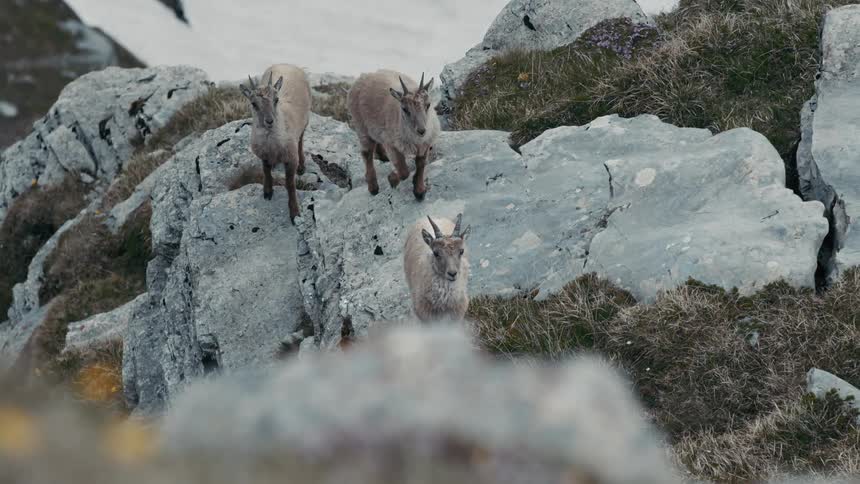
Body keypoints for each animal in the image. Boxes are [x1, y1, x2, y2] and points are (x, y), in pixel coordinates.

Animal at [239, 64, 311, 224]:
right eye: (253, 103)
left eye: (276, 99)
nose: (269, 121)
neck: (273, 146)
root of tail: (286, 63)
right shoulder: (263, 155)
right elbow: (266, 171)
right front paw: (267, 191)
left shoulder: (291, 159)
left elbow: (290, 185)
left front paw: (294, 212)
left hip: (305, 122)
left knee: (300, 141)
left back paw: (302, 166)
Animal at [347, 70, 440, 200]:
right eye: (405, 109)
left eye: (428, 105)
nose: (421, 130)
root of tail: (363, 76)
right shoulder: (392, 145)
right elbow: (403, 171)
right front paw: (392, 179)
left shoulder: (425, 144)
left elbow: (421, 164)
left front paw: (419, 190)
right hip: (361, 127)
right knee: (367, 154)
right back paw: (373, 187)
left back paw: (383, 156)